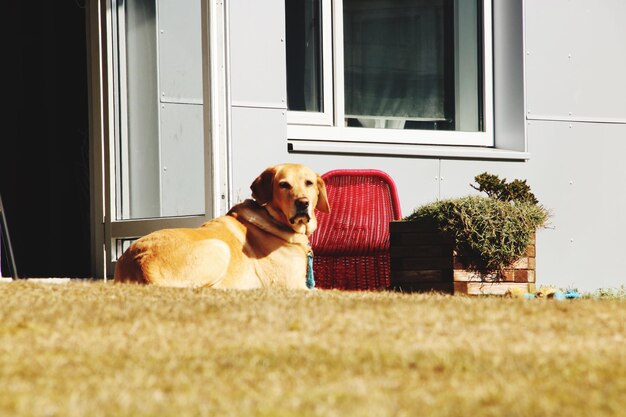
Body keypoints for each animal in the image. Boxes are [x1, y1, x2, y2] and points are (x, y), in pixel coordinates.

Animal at [112, 164, 330, 288]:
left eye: (309, 183)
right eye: (284, 185)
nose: (303, 203)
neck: (274, 219)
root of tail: (142, 262)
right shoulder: (293, 286)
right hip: (219, 247)